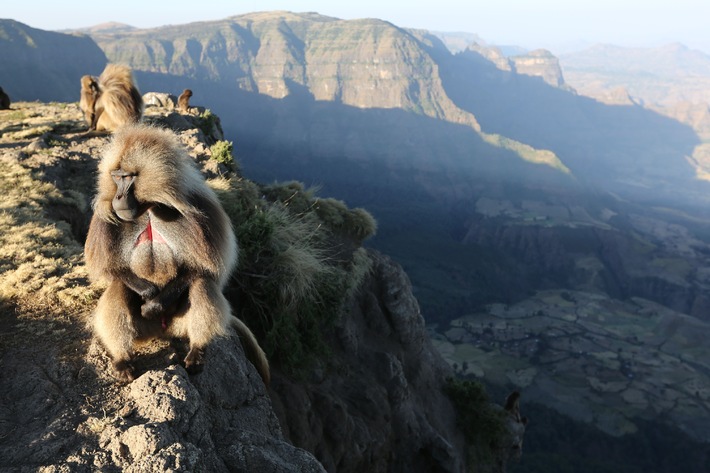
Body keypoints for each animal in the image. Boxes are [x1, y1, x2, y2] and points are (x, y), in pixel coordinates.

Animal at [85, 122, 270, 384]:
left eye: (127, 177)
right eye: (115, 177)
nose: (118, 197)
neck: (150, 207)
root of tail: (162, 332)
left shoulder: (203, 211)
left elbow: (202, 269)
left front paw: (155, 303)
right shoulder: (104, 219)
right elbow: (112, 271)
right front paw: (148, 293)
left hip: (180, 325)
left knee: (202, 284)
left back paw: (196, 352)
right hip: (143, 331)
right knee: (119, 287)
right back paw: (122, 360)